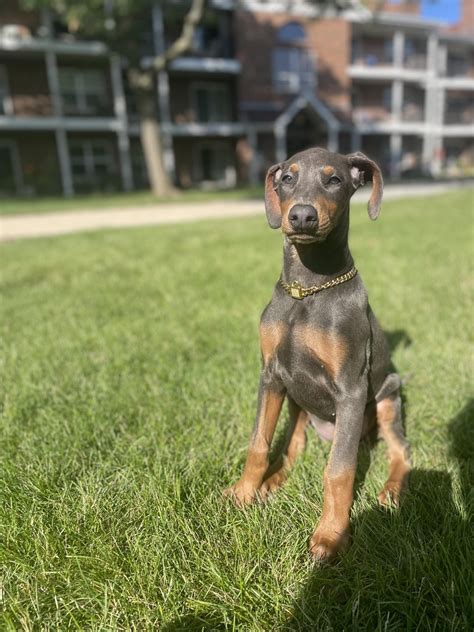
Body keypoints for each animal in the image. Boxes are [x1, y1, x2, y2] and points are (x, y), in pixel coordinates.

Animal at [223, 149, 412, 564]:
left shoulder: (351, 388)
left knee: (401, 452)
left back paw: (392, 492)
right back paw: (270, 483)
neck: (306, 290)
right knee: (293, 448)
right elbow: (258, 443)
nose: (301, 216)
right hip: (296, 402)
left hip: (388, 396)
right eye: (287, 178)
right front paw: (243, 492)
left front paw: (331, 534)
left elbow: (338, 470)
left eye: (335, 180)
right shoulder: (270, 375)